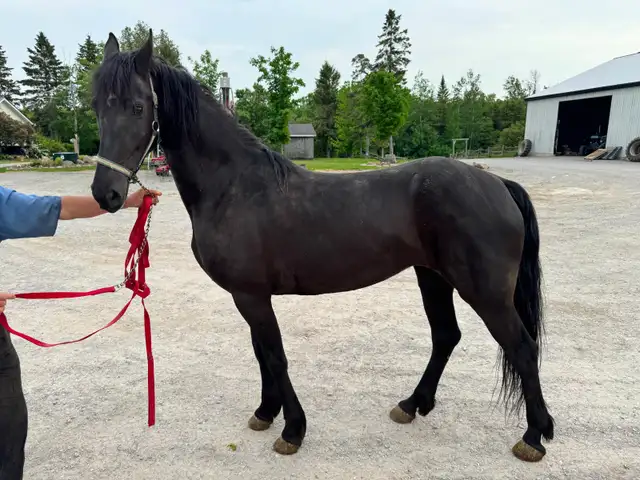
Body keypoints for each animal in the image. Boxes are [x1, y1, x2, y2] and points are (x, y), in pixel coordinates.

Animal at [89, 30, 555, 462]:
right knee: (446, 336)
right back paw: (412, 404)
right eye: (97, 107)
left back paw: (533, 436)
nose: (105, 194)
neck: (235, 186)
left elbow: (275, 357)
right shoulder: (248, 295)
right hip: (433, 278)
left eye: (137, 106)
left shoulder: (251, 295)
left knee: (522, 347)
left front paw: (292, 430)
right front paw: (265, 412)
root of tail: (498, 183)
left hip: (485, 292)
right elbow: (261, 354)